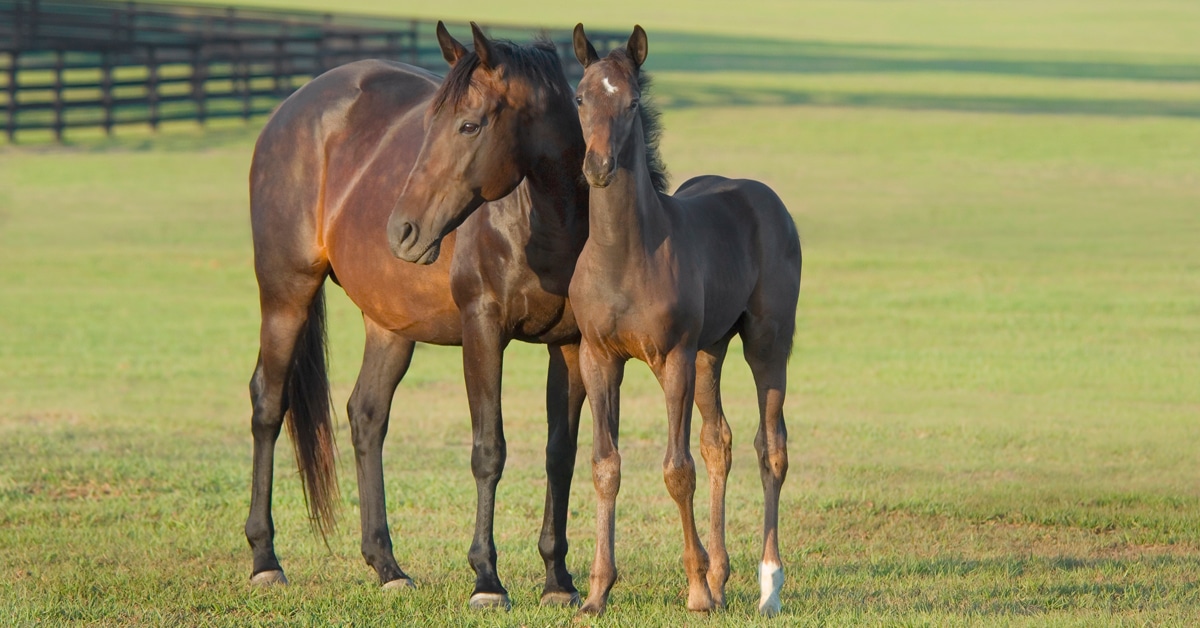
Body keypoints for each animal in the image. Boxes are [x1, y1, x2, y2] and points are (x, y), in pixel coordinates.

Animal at [246, 22, 588, 609]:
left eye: (469, 125)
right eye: (430, 126)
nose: (401, 230)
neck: (540, 217)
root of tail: (290, 108)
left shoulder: (568, 344)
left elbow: (559, 455)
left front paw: (558, 580)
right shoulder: (483, 330)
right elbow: (489, 450)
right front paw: (486, 579)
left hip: (389, 324)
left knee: (366, 416)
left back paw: (386, 566)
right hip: (286, 296)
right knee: (268, 403)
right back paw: (265, 559)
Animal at [568, 25, 801, 616]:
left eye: (632, 102)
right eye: (580, 97)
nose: (598, 167)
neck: (625, 256)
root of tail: (766, 198)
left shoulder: (671, 357)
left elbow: (677, 470)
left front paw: (695, 591)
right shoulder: (599, 358)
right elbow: (605, 464)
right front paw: (597, 592)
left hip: (765, 343)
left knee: (771, 446)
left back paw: (768, 586)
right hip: (708, 352)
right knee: (719, 441)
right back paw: (721, 576)